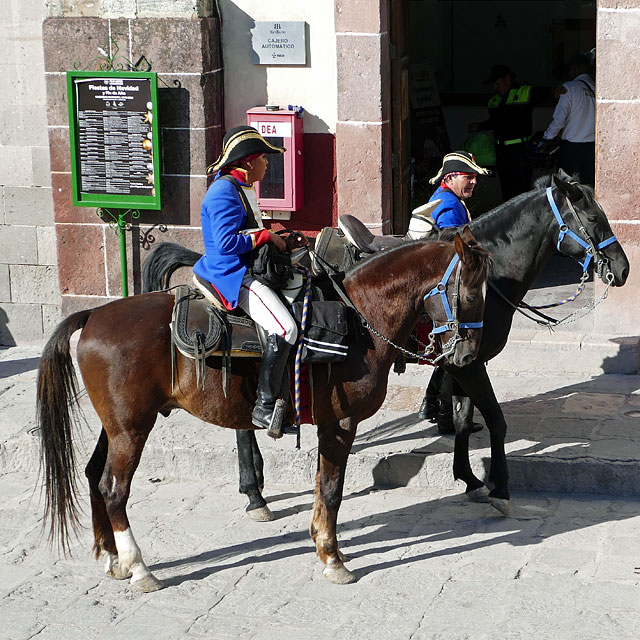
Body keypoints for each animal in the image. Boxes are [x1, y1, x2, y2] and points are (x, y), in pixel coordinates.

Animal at [36, 228, 490, 592]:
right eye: (470, 295)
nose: (468, 356)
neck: (359, 321)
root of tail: (94, 314)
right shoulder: (340, 425)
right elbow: (331, 489)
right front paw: (332, 558)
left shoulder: (330, 427)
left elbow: (322, 488)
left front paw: (321, 544)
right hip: (132, 428)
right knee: (115, 489)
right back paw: (139, 568)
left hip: (116, 425)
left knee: (94, 476)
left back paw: (113, 559)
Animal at [142, 171, 628, 520]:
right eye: (595, 218)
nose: (621, 269)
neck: (491, 272)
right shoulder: (468, 363)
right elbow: (495, 419)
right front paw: (499, 487)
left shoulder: (464, 360)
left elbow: (466, 414)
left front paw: (468, 476)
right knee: (243, 421)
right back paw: (255, 491)